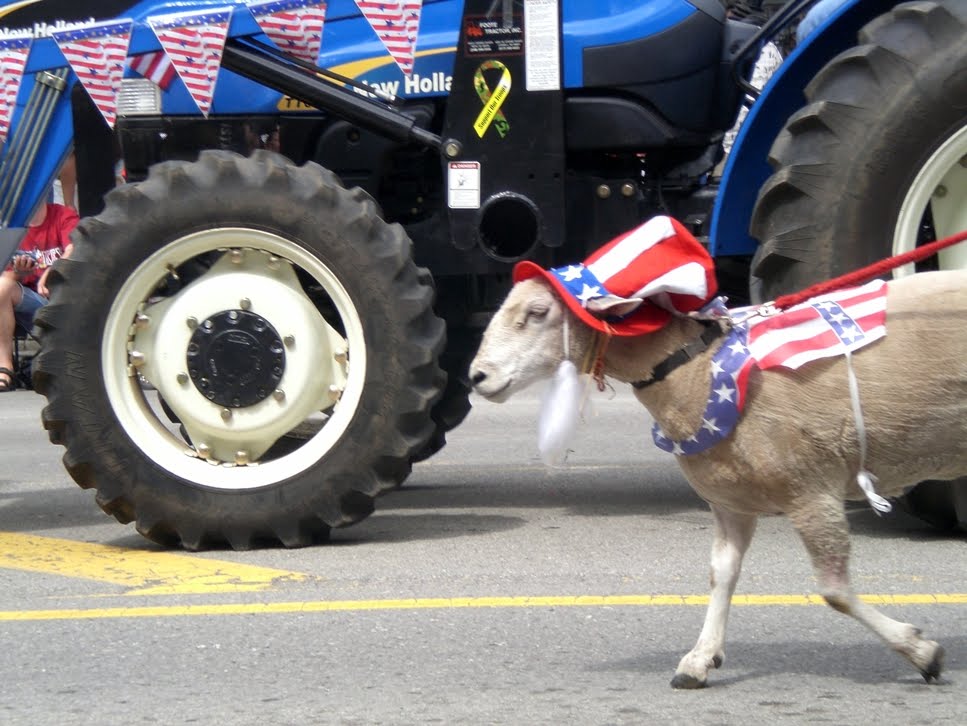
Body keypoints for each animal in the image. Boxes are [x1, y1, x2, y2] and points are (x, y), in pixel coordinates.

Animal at [468, 270, 967, 687]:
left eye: (538, 313)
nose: (476, 376)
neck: (696, 370)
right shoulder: (731, 503)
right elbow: (721, 575)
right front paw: (699, 659)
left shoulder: (810, 488)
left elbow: (835, 591)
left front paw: (922, 651)